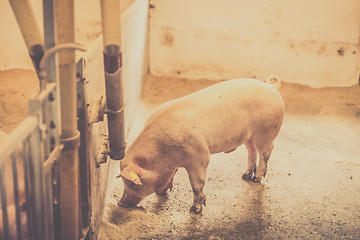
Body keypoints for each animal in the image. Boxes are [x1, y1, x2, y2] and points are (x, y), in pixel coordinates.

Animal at [117, 75, 284, 214]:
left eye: (132, 184)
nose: (120, 202)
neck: (163, 154)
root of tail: (271, 87)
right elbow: (173, 175)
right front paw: (162, 192)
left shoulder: (200, 157)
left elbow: (197, 184)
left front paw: (195, 210)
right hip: (249, 135)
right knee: (252, 150)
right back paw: (245, 176)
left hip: (266, 131)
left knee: (267, 152)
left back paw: (256, 179)